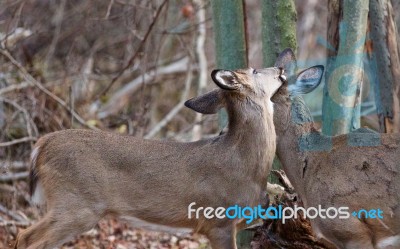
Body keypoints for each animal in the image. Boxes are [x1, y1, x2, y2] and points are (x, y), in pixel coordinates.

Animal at [14, 65, 284, 248]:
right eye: (254, 70)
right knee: (28, 238)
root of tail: (41, 145)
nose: (281, 68)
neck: (246, 167)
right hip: (76, 202)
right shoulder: (217, 222)